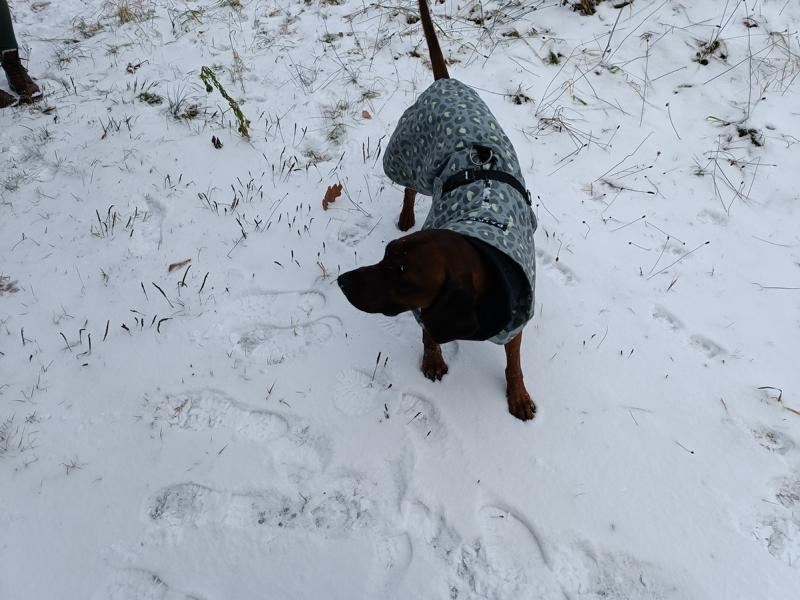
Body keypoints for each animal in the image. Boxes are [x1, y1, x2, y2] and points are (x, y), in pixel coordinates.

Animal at [337, 0, 538, 421]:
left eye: (402, 276)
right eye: (384, 256)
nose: (342, 282)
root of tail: (445, 82)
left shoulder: (514, 326)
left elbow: (513, 363)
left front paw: (518, 395)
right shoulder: (425, 311)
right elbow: (429, 334)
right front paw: (432, 360)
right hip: (408, 158)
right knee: (410, 188)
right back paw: (406, 215)